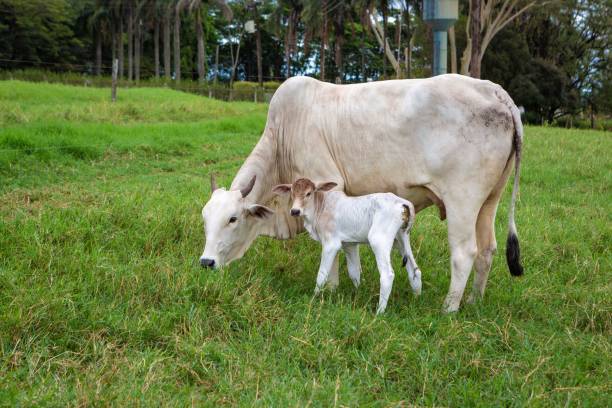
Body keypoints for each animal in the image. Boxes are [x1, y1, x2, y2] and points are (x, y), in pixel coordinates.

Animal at [274, 177, 424, 314]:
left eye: (309, 193)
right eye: (291, 193)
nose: (295, 211)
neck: (320, 207)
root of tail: (402, 203)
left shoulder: (331, 244)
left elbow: (322, 274)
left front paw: (314, 297)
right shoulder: (350, 244)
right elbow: (354, 272)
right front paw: (358, 292)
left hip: (379, 239)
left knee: (387, 275)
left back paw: (379, 312)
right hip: (401, 239)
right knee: (415, 270)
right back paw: (416, 299)